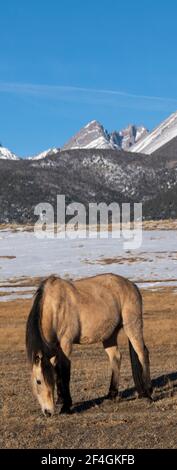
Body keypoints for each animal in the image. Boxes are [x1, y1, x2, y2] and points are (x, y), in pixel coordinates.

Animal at [25, 274, 151, 416]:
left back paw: (148, 393)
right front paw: (60, 399)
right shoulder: (55, 348)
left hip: (132, 326)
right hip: (110, 335)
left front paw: (66, 407)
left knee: (142, 353)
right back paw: (111, 395)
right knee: (116, 358)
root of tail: (132, 285)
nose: (49, 412)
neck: (54, 306)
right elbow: (58, 370)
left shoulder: (66, 343)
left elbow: (64, 371)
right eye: (38, 381)